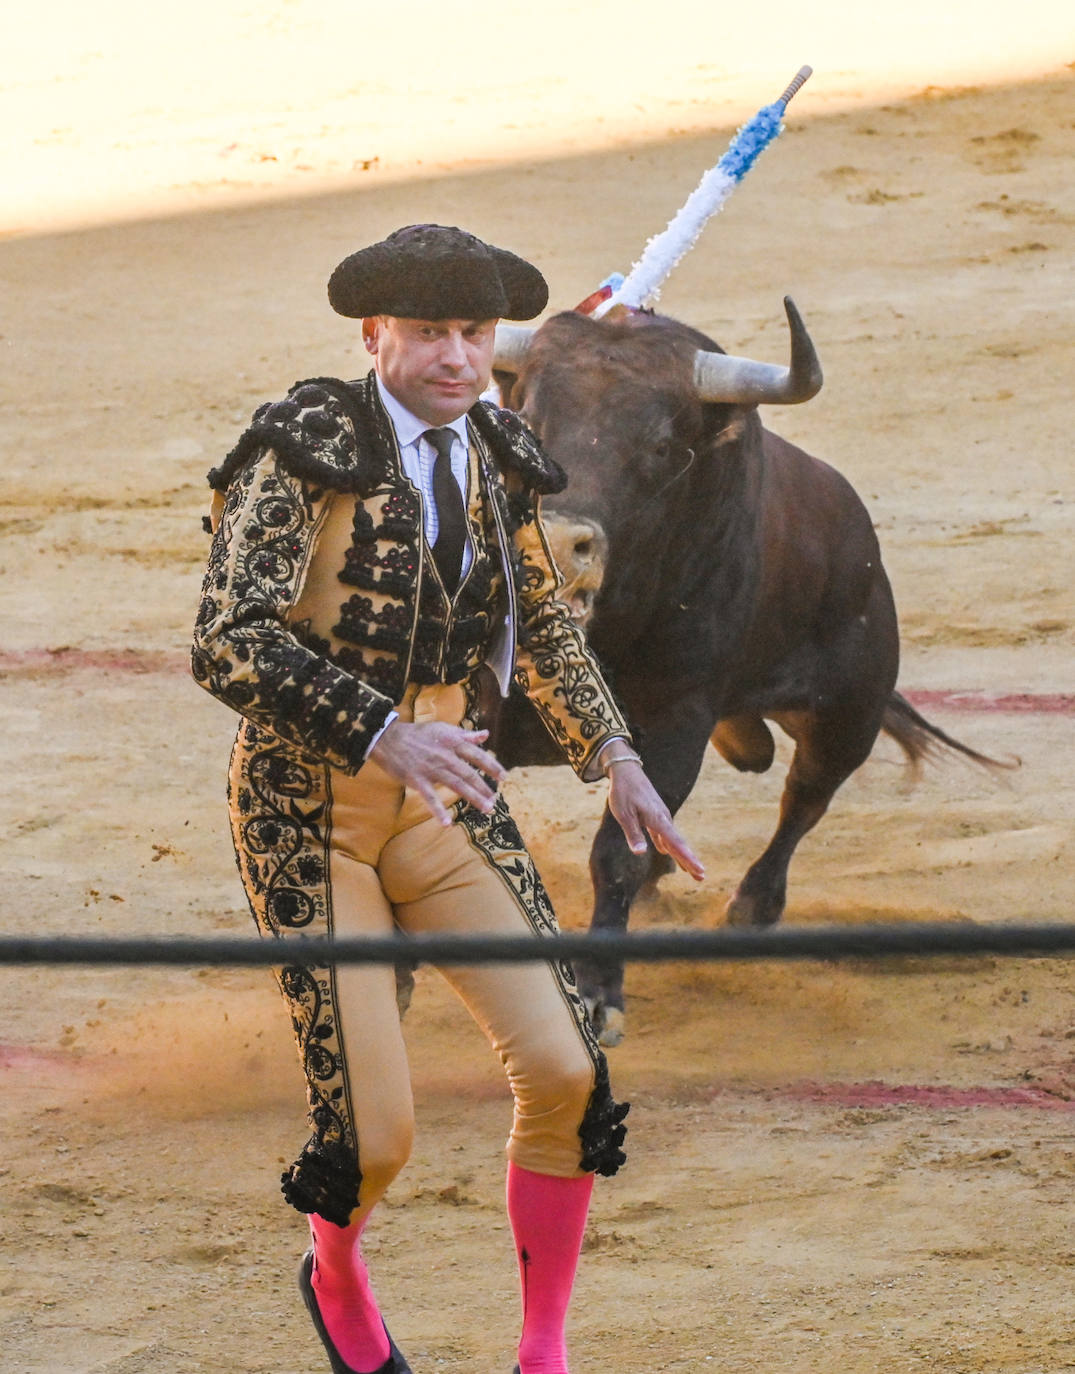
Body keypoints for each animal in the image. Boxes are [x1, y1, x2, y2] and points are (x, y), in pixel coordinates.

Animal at [489, 292, 1000, 1038]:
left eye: (661, 446)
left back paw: (750, 909)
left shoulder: (675, 720)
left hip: (847, 713)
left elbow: (617, 852)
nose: (557, 544)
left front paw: (599, 993)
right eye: (524, 419)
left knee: (804, 798)